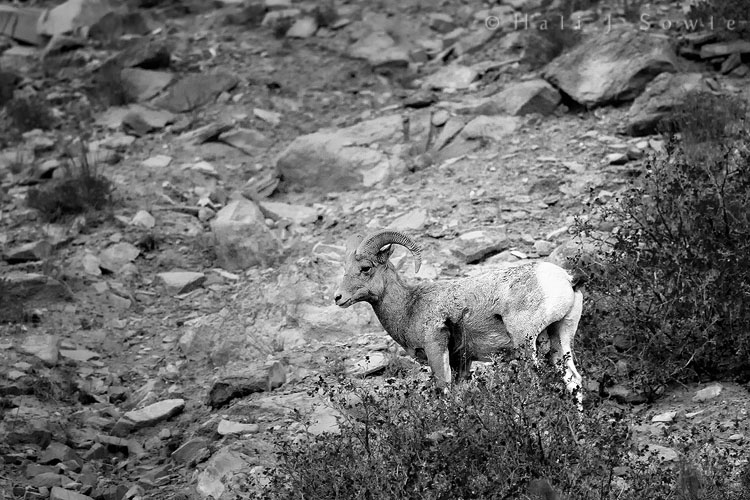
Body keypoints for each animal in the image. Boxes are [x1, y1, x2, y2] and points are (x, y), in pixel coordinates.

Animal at [334, 229, 584, 407]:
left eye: (366, 268)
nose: (338, 298)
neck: (409, 306)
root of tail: (564, 279)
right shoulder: (462, 361)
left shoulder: (436, 349)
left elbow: (444, 391)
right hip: (560, 338)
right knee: (574, 381)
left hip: (526, 342)